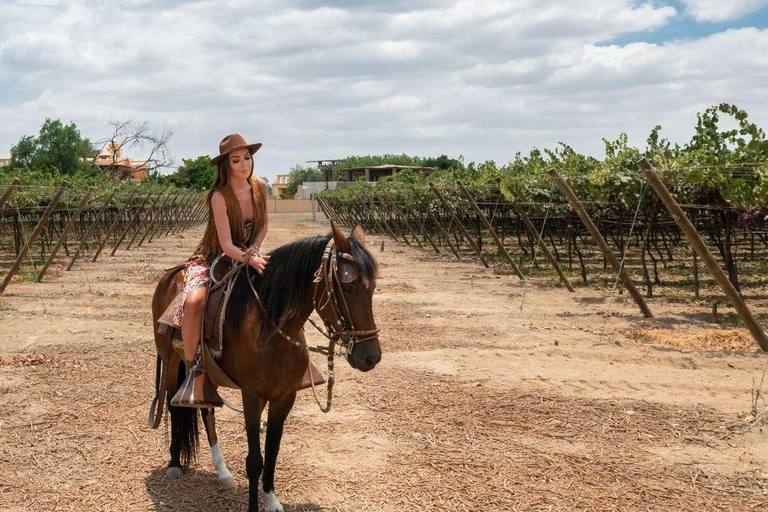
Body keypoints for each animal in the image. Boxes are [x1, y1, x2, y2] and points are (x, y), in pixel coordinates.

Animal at [148, 224, 380, 512]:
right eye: (347, 287)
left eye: (373, 287)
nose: (371, 356)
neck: (270, 330)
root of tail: (169, 277)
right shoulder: (252, 396)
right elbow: (254, 460)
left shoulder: (284, 397)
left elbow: (272, 450)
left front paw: (270, 499)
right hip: (171, 361)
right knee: (172, 403)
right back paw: (174, 463)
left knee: (204, 408)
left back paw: (223, 472)